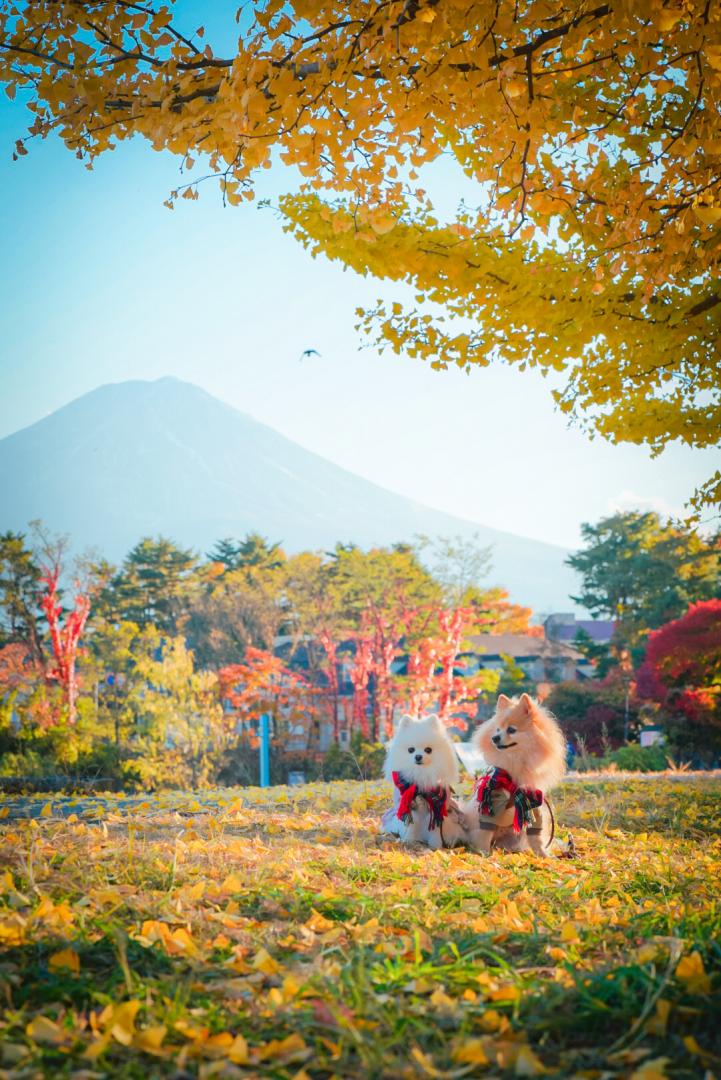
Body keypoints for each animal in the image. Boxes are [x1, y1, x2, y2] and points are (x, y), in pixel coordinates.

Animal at [382, 717, 468, 851]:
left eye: (428, 750)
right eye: (411, 750)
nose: (418, 756)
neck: (421, 773)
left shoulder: (436, 809)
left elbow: (435, 830)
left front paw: (436, 846)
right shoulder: (410, 806)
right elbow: (411, 825)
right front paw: (409, 841)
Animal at [459, 695, 565, 855]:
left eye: (511, 730)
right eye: (497, 729)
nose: (495, 738)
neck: (515, 760)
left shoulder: (532, 800)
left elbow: (536, 835)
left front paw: (543, 855)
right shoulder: (492, 802)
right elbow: (485, 833)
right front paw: (483, 853)